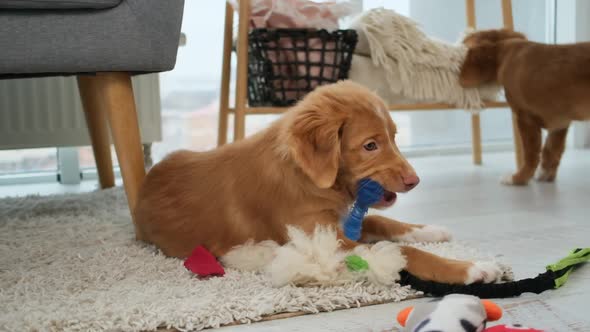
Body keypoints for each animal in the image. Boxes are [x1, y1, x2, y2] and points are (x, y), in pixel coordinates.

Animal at [135, 81, 504, 286]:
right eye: (370, 145)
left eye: (394, 137)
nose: (414, 181)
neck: (307, 177)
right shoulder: (323, 241)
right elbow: (401, 251)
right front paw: (473, 268)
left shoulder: (339, 222)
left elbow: (382, 222)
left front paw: (428, 230)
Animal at [460, 28, 590, 184]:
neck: (505, 51)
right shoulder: (560, 123)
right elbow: (551, 151)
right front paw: (546, 175)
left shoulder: (525, 117)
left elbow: (530, 154)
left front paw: (518, 178)